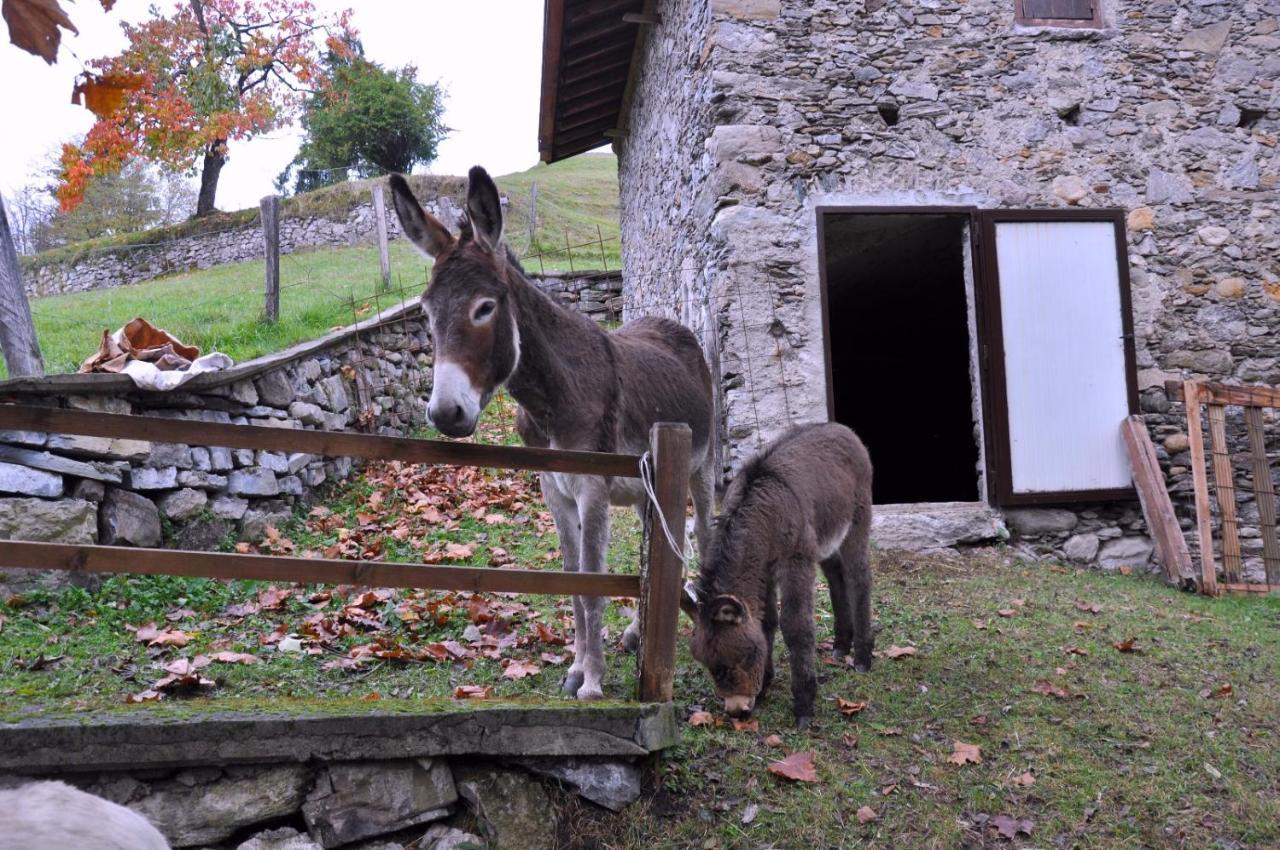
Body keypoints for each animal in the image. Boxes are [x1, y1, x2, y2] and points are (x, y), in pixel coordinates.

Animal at [686, 422, 875, 727]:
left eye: (744, 656)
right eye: (709, 666)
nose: (738, 712)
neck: (762, 516)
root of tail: (840, 428)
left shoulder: (794, 563)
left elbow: (795, 626)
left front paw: (804, 704)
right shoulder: (763, 569)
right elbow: (767, 622)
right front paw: (765, 686)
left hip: (857, 520)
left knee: (859, 579)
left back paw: (862, 656)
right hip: (824, 539)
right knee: (836, 576)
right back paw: (841, 644)